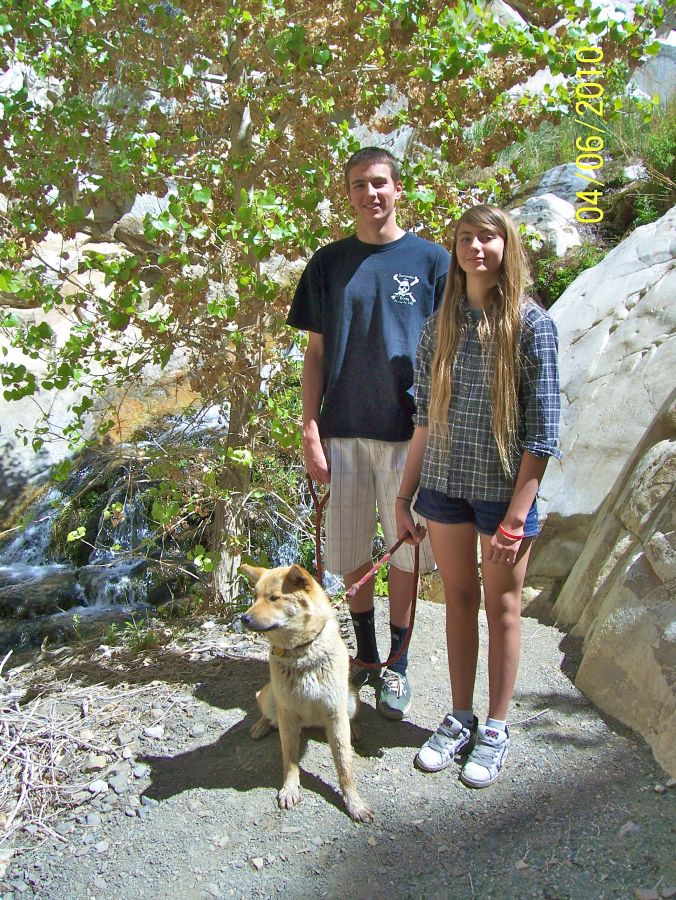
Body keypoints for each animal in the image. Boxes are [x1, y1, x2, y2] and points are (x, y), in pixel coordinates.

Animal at [239, 568, 374, 828]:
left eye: (274, 598)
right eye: (255, 597)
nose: (244, 618)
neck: (302, 652)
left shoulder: (334, 712)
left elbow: (345, 767)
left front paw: (355, 803)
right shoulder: (288, 714)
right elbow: (289, 760)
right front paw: (290, 789)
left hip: (351, 698)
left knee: (350, 718)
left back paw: (355, 728)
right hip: (269, 696)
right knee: (268, 712)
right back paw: (261, 726)